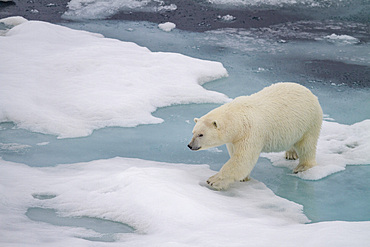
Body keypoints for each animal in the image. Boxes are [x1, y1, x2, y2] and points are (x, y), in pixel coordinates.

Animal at [188, 82, 320, 189]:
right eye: (193, 132)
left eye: (201, 134)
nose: (190, 145)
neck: (239, 118)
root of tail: (310, 93)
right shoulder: (234, 139)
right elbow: (235, 154)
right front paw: (243, 177)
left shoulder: (250, 132)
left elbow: (242, 159)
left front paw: (214, 180)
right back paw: (291, 153)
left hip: (309, 122)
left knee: (306, 145)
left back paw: (302, 167)